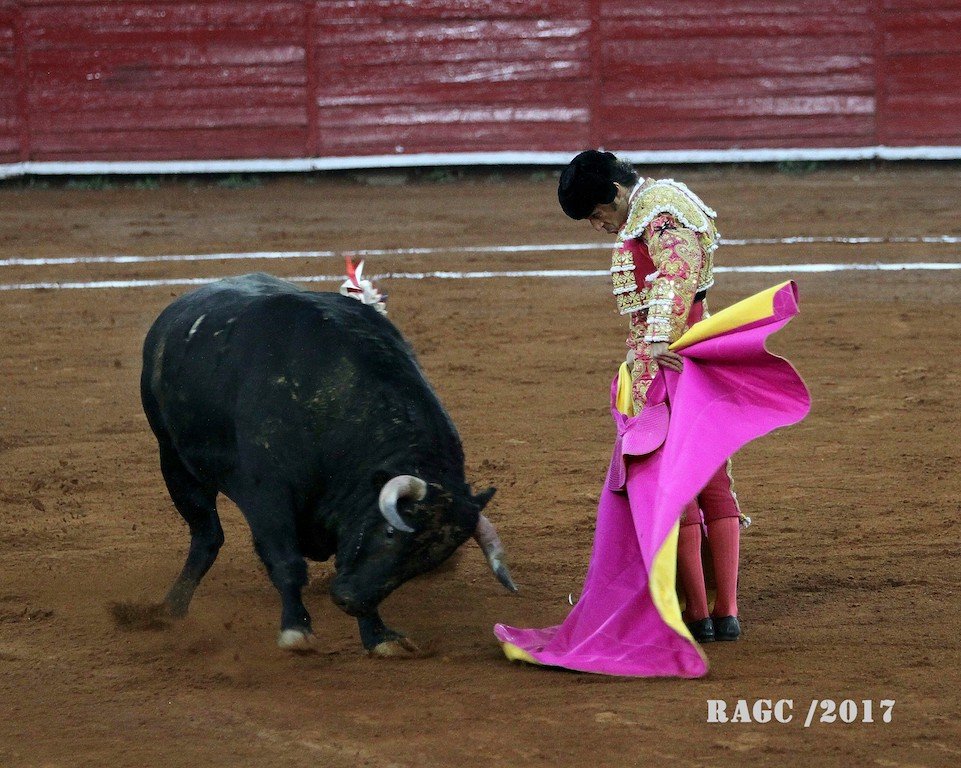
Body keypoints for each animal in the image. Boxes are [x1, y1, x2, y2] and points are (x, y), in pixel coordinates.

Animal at [140, 272, 516, 656]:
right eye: (390, 532)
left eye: (429, 560)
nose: (349, 600)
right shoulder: (267, 494)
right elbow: (286, 561)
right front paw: (296, 630)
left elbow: (349, 559)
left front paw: (378, 636)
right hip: (174, 461)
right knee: (207, 536)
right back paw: (171, 609)